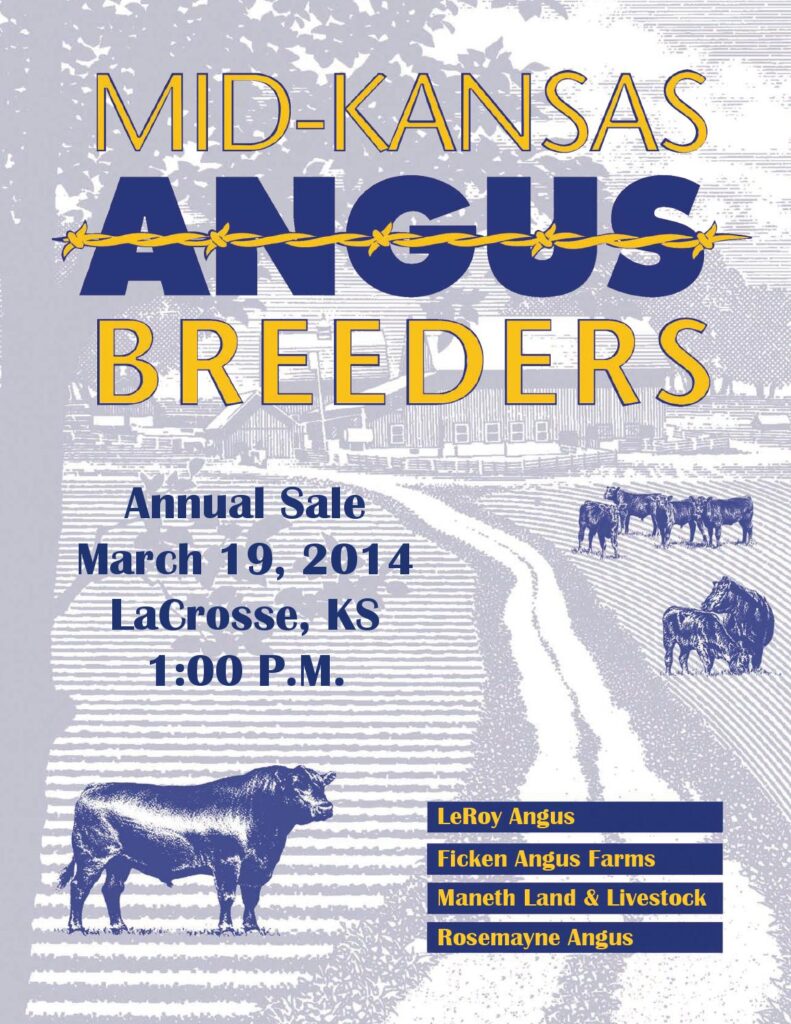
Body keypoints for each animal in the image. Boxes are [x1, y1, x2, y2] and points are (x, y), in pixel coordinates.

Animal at [58, 765, 335, 935]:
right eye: (297, 784)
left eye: (321, 785)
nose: (326, 807)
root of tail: (94, 787)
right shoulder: (227, 862)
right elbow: (227, 896)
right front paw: (226, 928)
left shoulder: (257, 866)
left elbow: (251, 897)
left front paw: (252, 928)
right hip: (93, 855)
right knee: (79, 887)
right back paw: (77, 927)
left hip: (120, 861)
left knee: (111, 890)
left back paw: (120, 927)